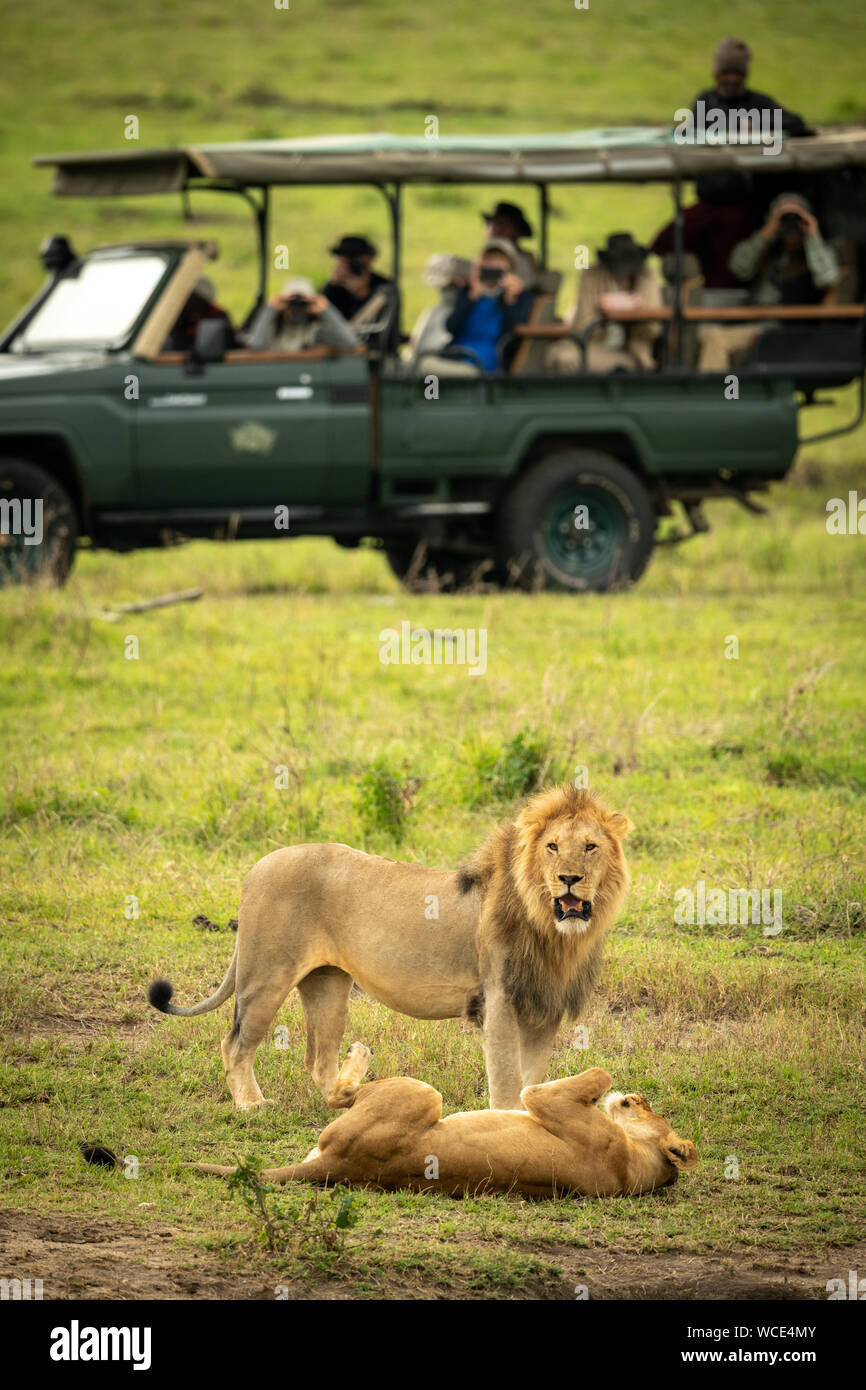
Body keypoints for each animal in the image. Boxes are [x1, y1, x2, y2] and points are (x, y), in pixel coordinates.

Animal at [148, 795, 631, 1106]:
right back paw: (252, 1105)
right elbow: (508, 1082)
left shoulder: (544, 1009)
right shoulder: (499, 1001)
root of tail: (255, 868)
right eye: (552, 846)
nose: (569, 878)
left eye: (590, 846)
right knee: (235, 1044)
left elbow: (531, 1080)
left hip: (327, 984)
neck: (553, 929)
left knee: (318, 1060)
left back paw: (355, 1100)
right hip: (265, 976)